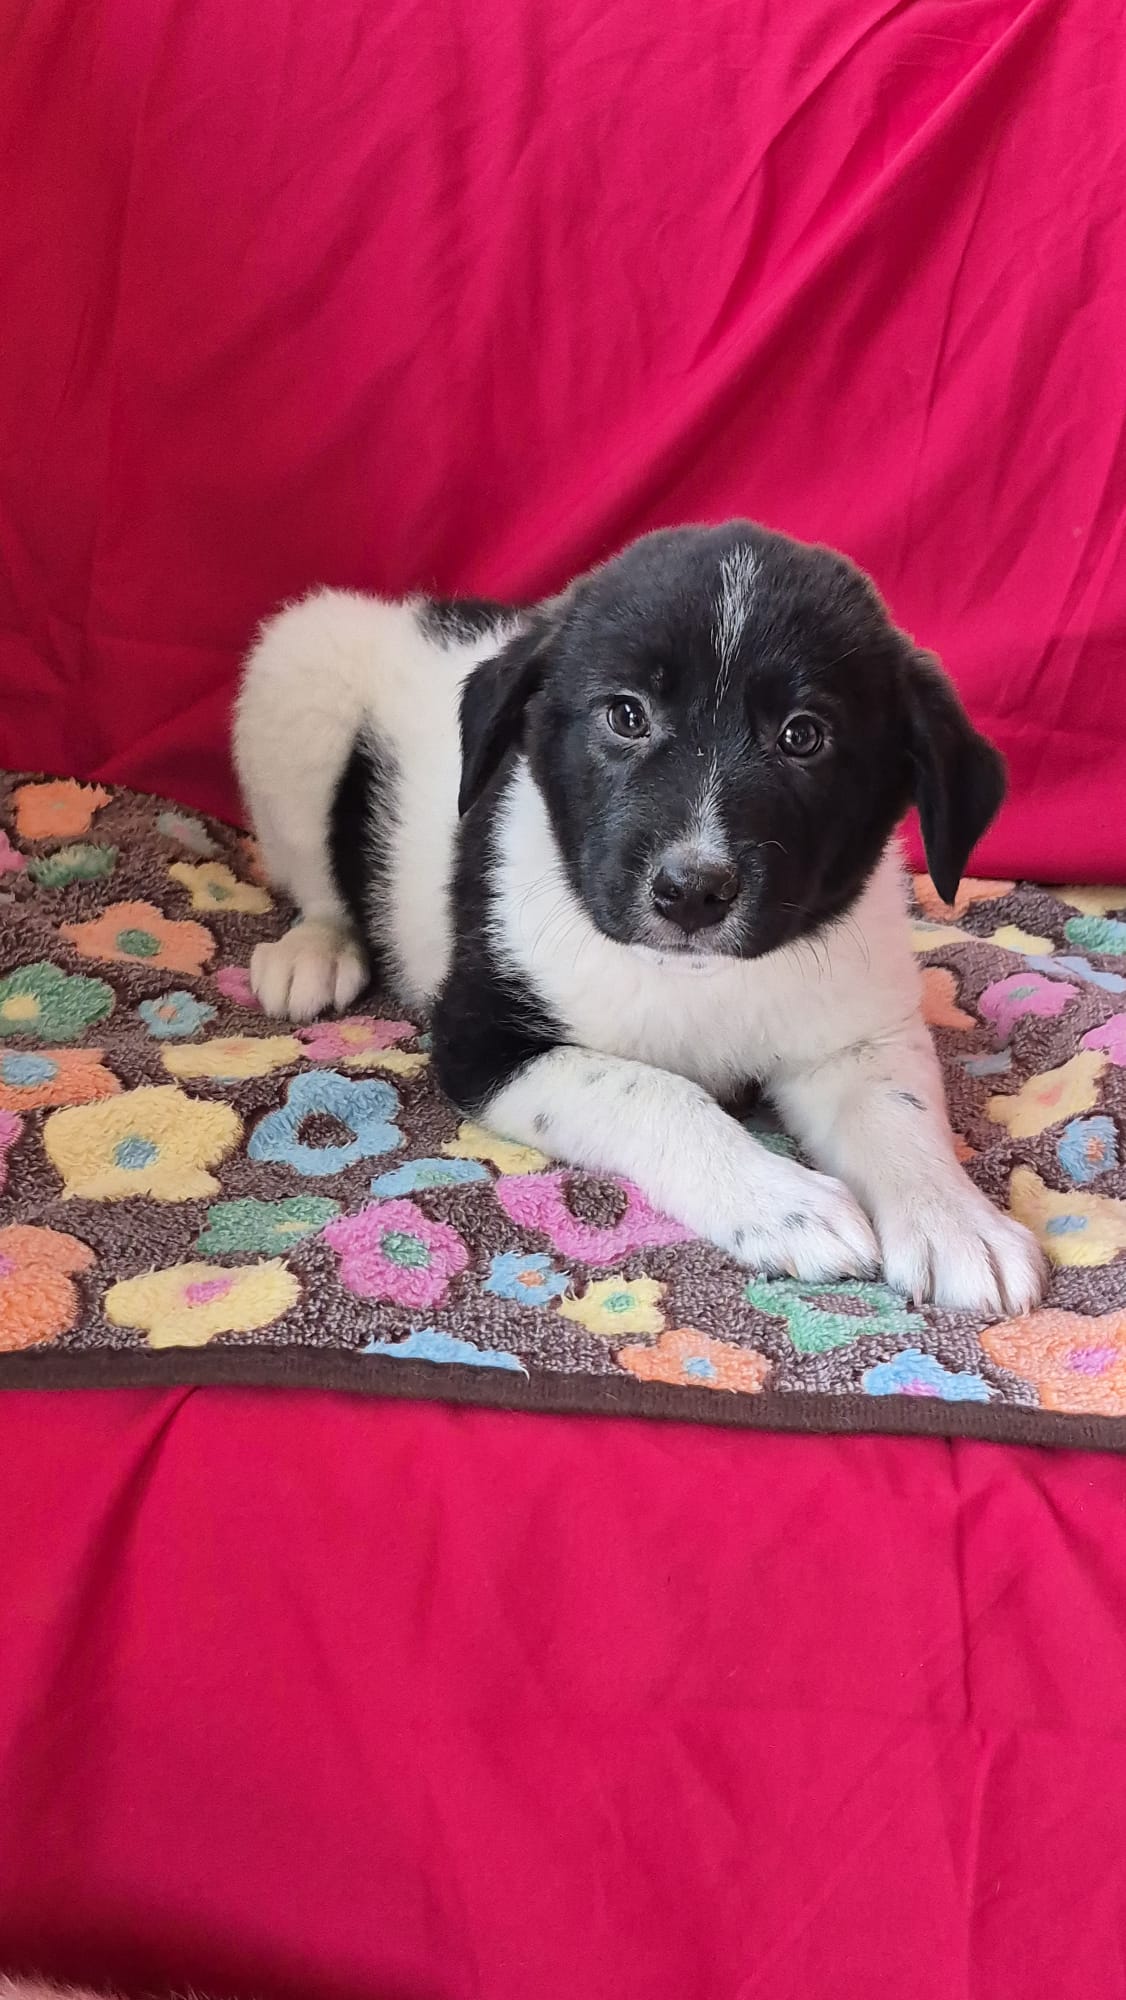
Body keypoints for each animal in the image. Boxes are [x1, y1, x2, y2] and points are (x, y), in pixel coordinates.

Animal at [234, 520, 1046, 1316]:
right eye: (627, 715)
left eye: (803, 735)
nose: (691, 892)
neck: (698, 978)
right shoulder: (484, 1041)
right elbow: (655, 1091)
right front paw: (782, 1203)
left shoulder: (858, 1033)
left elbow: (897, 1113)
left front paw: (954, 1219)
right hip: (296, 680)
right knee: (319, 883)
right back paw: (314, 953)